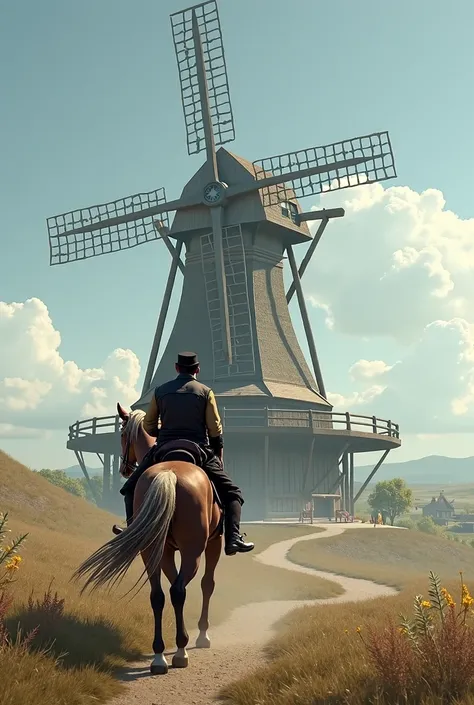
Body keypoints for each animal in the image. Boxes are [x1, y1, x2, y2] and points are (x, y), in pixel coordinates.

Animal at [72, 402, 224, 672]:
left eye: (122, 434)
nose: (124, 469)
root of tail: (169, 474)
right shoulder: (214, 542)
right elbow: (206, 584)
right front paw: (202, 634)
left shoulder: (168, 550)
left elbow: (176, 583)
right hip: (193, 549)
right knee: (178, 590)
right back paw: (180, 652)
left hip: (152, 548)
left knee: (159, 595)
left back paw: (159, 656)